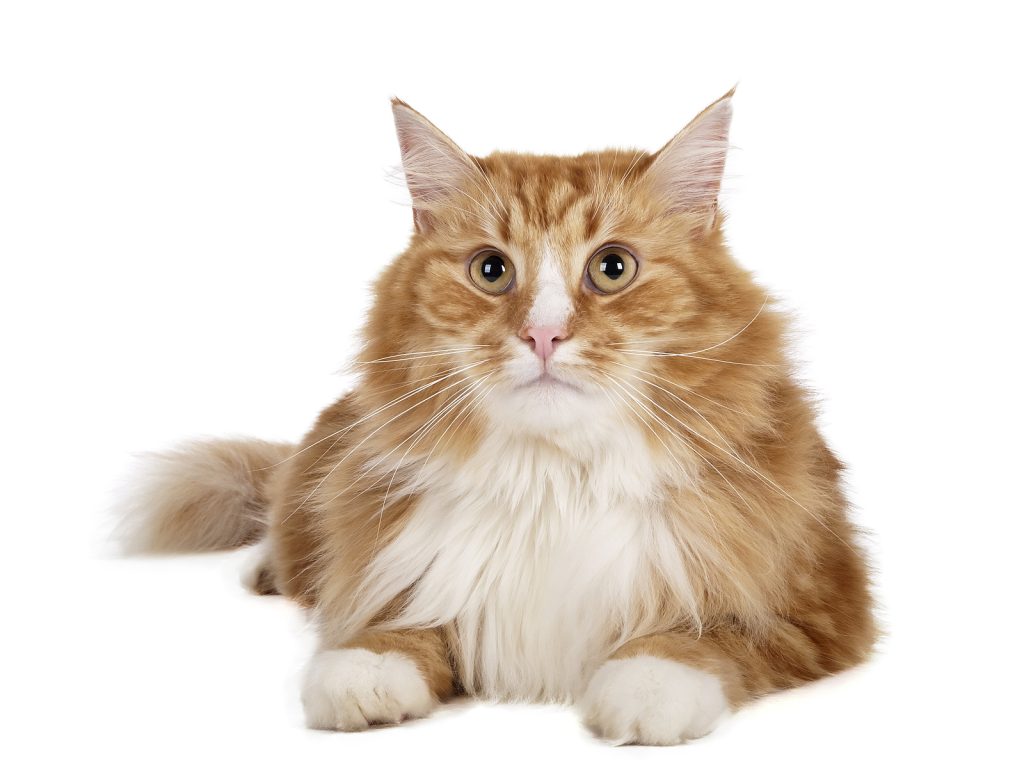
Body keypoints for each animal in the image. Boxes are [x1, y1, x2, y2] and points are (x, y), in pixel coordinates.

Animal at [117, 88, 872, 745]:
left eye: (613, 268)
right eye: (490, 271)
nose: (543, 335)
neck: (555, 483)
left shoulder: (817, 604)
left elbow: (703, 638)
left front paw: (647, 687)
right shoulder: (412, 571)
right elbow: (401, 623)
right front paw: (365, 669)